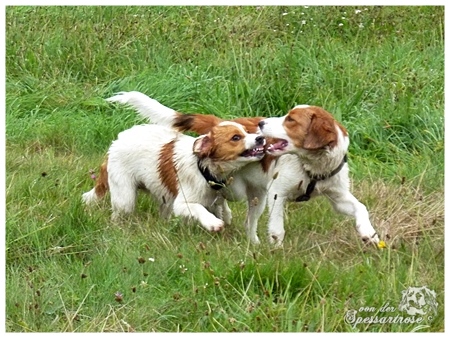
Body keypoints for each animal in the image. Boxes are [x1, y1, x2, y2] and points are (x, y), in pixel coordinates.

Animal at [81, 120, 266, 231]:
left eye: (247, 131)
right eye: (235, 138)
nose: (260, 138)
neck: (204, 169)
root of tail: (114, 145)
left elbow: (220, 206)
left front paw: (225, 216)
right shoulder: (182, 203)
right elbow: (198, 208)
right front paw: (212, 222)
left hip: (163, 198)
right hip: (125, 198)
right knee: (119, 213)